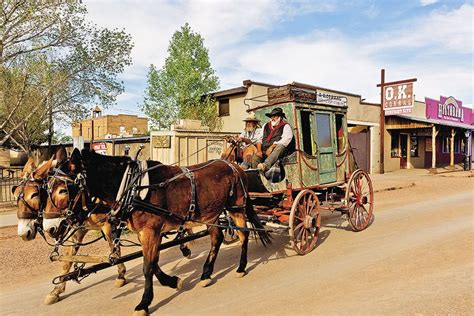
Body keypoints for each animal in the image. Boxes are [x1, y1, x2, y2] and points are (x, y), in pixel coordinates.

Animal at [43, 149, 270, 314]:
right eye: (47, 187)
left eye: (62, 190)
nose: (49, 228)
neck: (132, 187)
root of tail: (235, 166)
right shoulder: (149, 232)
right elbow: (153, 263)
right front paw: (172, 281)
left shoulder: (151, 231)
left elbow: (147, 266)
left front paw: (144, 303)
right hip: (211, 213)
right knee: (217, 238)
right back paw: (206, 274)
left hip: (236, 206)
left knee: (243, 234)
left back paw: (241, 267)